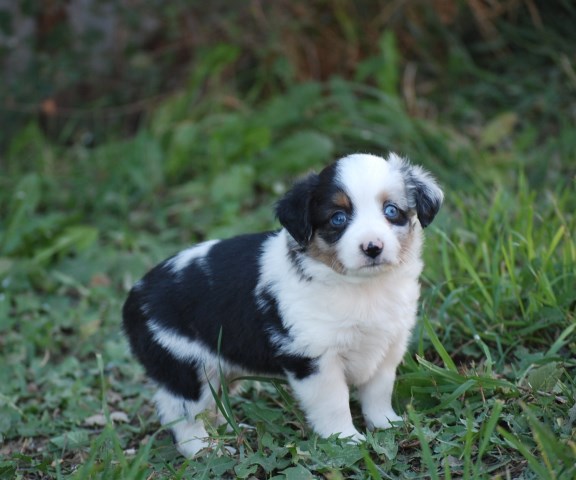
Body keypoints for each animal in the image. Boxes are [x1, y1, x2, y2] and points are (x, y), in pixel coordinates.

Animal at [122, 154, 446, 458]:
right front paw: (346, 439)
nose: (373, 248)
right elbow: (334, 403)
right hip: (186, 366)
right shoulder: (314, 359)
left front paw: (387, 423)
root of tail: (134, 297)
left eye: (391, 211)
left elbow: (378, 391)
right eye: (338, 218)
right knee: (181, 413)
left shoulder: (387, 345)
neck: (361, 288)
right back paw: (206, 449)